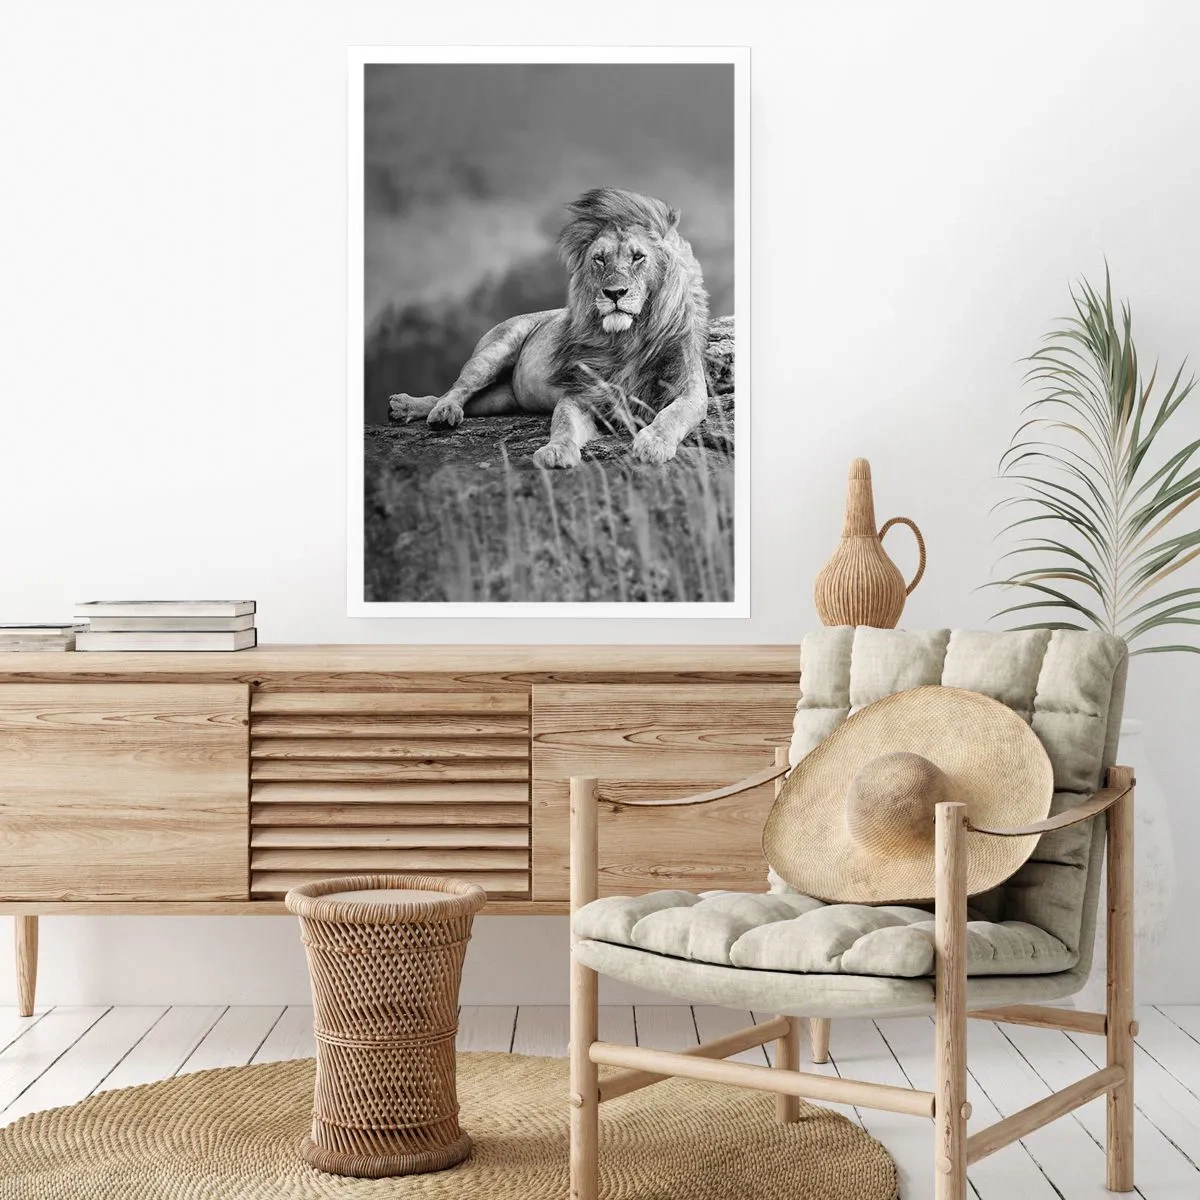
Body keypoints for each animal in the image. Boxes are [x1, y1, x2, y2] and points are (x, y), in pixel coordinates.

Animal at [388, 188, 714, 467]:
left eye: (638, 257)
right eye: (599, 259)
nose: (614, 293)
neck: (627, 339)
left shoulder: (689, 389)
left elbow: (673, 415)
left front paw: (653, 443)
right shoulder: (580, 393)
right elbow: (564, 424)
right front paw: (555, 451)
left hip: (501, 399)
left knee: (461, 399)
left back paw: (408, 408)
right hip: (494, 351)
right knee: (457, 389)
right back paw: (434, 410)